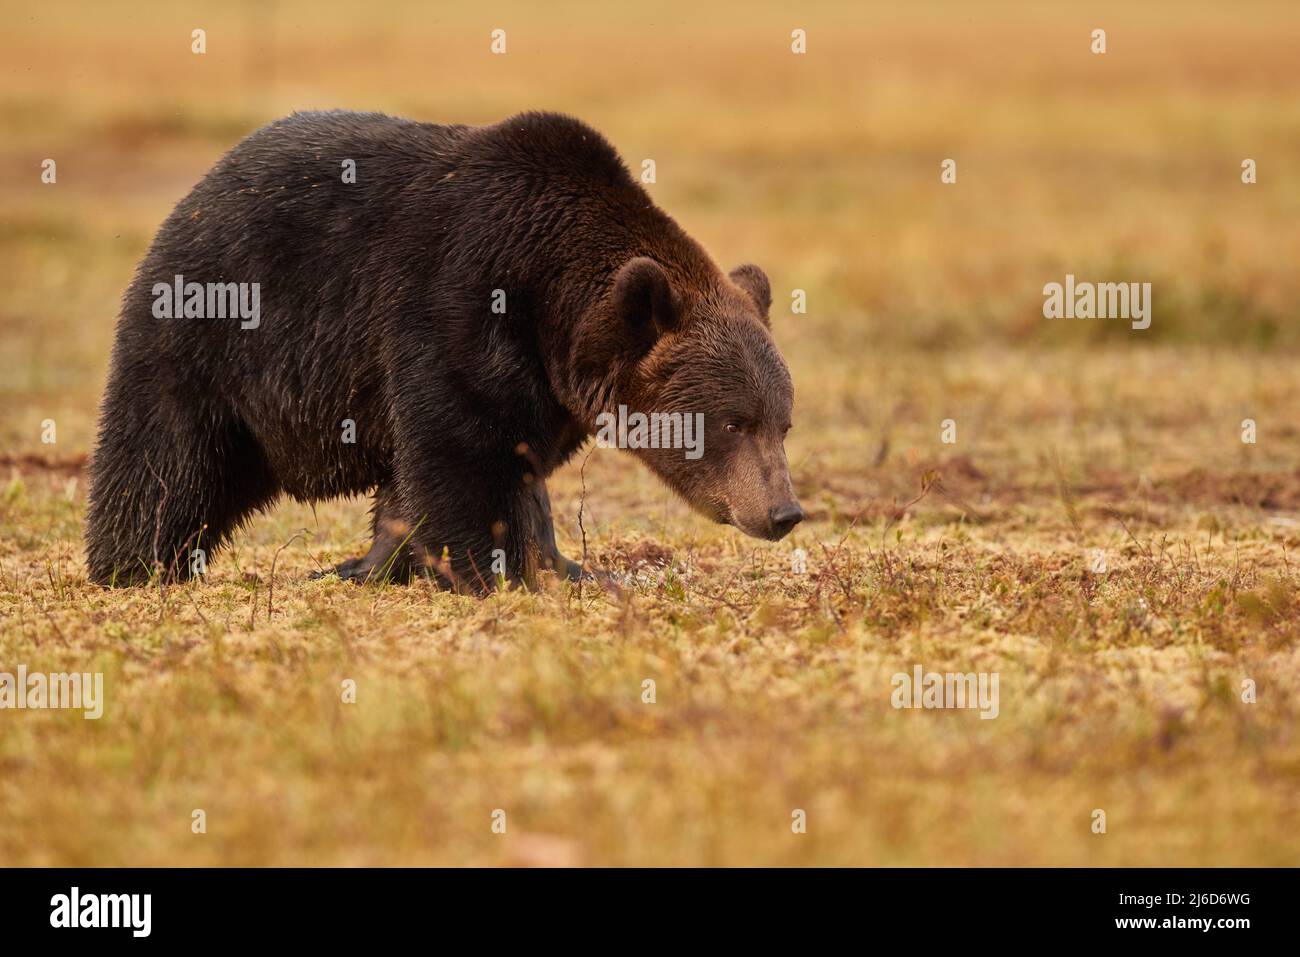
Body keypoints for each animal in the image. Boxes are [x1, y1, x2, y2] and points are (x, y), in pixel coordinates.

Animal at [83, 110, 800, 590]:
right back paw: (136, 564)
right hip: (214, 333)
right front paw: (496, 573)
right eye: (732, 422)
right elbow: (464, 450)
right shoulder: (459, 302)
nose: (783, 512)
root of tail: (198, 191)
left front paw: (569, 567)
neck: (550, 296)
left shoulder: (548, 382)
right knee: (167, 458)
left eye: (782, 422)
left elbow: (506, 464)